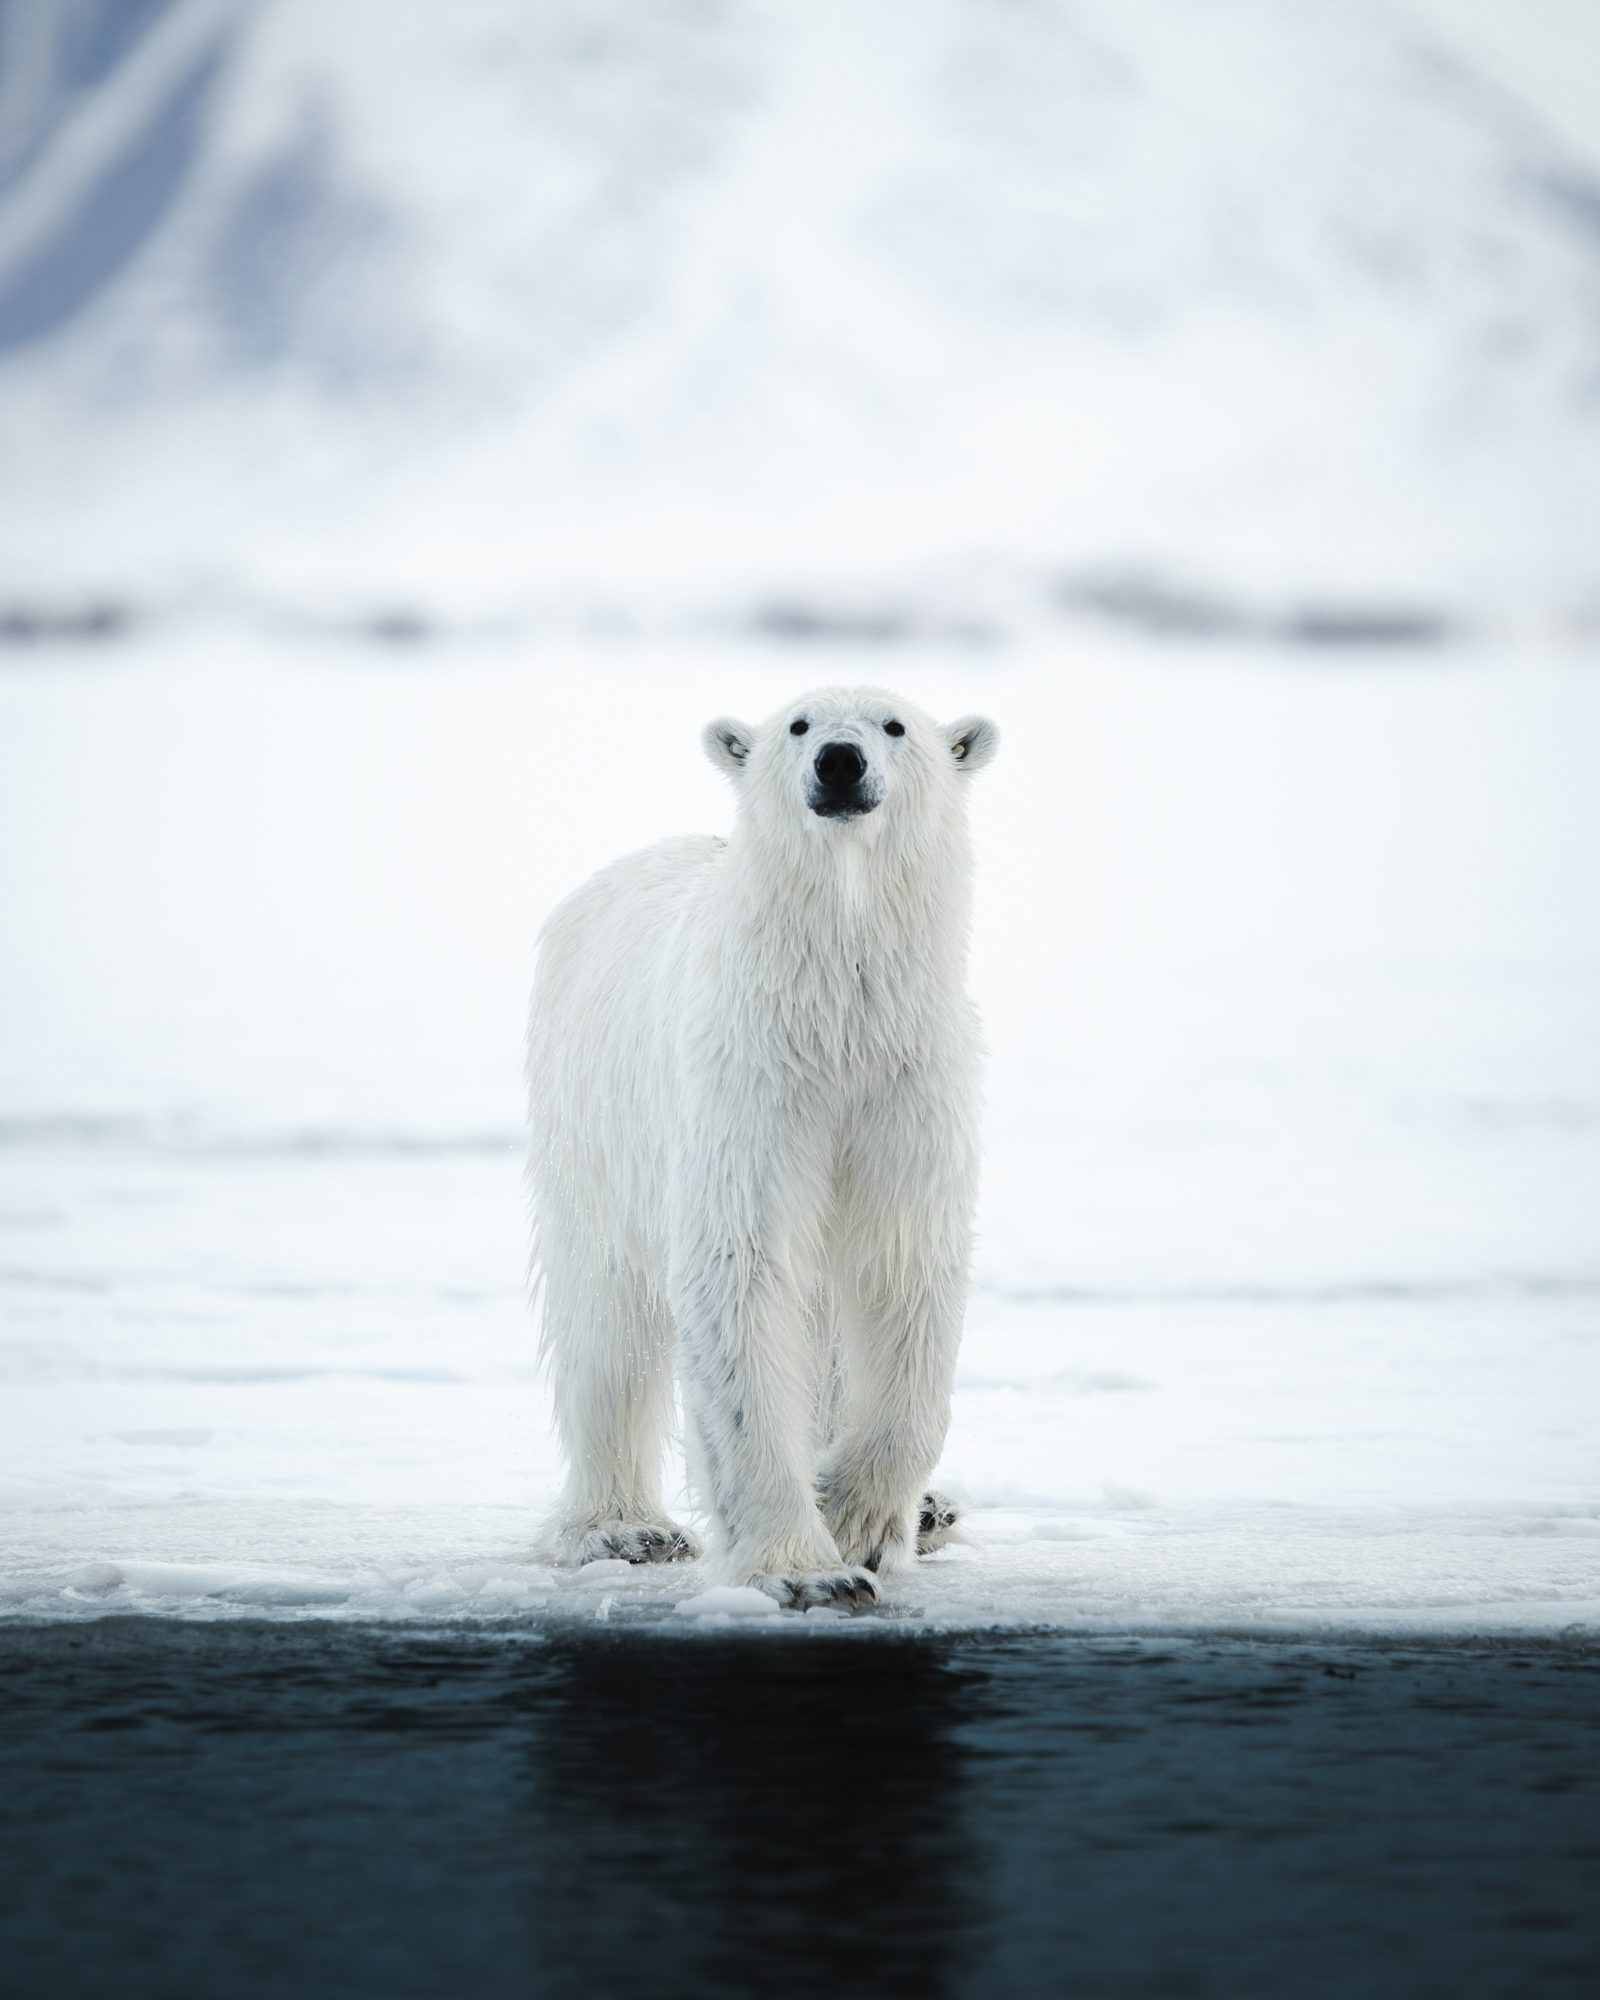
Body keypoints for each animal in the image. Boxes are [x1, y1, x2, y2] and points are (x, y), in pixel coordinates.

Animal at [532, 688, 992, 1608]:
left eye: (894, 725)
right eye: (799, 725)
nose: (841, 762)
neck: (834, 1012)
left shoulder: (905, 1087)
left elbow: (902, 1269)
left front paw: (855, 1512)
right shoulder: (749, 1086)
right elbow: (741, 1269)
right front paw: (809, 1569)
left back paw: (931, 1511)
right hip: (593, 1121)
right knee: (606, 1320)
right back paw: (620, 1527)